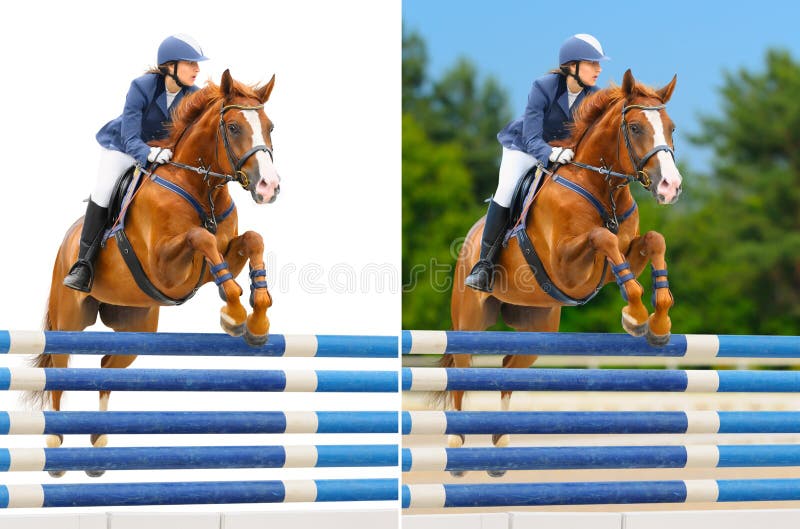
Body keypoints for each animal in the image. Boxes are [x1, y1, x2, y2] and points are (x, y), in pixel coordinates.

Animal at [33, 69, 278, 470]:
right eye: (232, 127)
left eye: (270, 126)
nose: (268, 187)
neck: (201, 186)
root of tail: (67, 241)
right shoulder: (166, 269)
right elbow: (200, 237)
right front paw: (235, 313)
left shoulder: (215, 262)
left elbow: (252, 240)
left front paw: (256, 319)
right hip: (69, 318)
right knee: (60, 365)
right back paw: (54, 442)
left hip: (136, 327)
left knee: (106, 367)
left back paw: (98, 447)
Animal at [450, 69, 680, 462]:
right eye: (635, 128)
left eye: (671, 127)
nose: (671, 186)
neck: (602, 186)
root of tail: (469, 240)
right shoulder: (566, 267)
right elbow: (602, 239)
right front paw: (635, 316)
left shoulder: (618, 258)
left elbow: (654, 240)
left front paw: (659, 321)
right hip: (469, 322)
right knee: (461, 374)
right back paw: (456, 443)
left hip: (537, 329)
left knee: (508, 369)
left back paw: (501, 441)